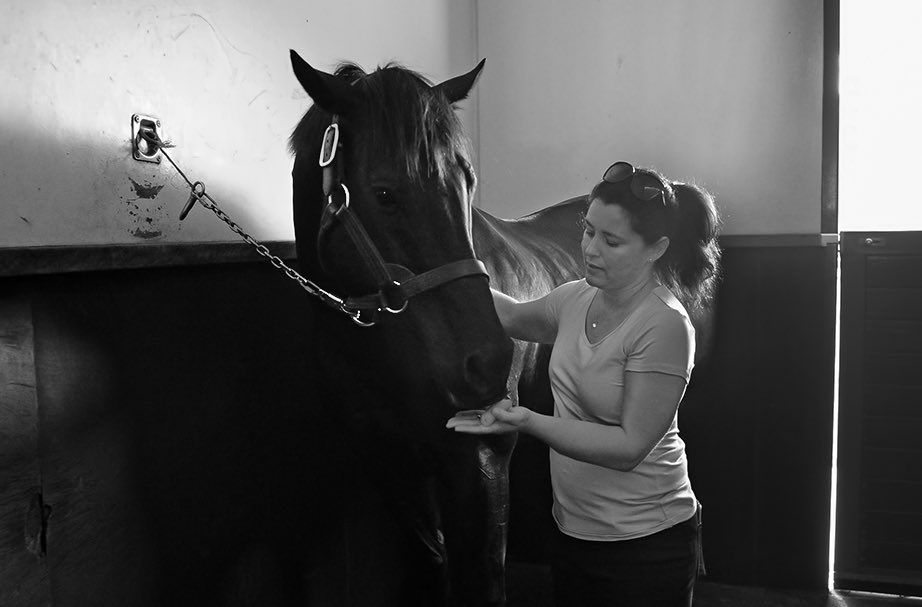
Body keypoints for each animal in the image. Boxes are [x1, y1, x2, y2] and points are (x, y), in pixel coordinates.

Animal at [288, 50, 584, 604]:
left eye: (467, 182)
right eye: (384, 193)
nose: (488, 363)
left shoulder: (481, 456)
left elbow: (483, 577)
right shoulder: (387, 460)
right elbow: (431, 559)